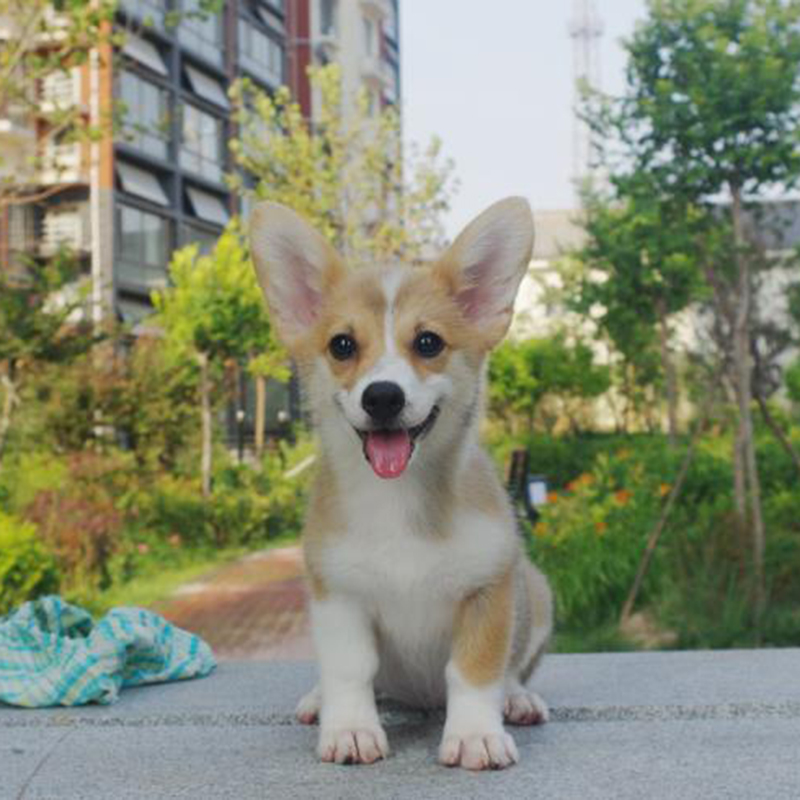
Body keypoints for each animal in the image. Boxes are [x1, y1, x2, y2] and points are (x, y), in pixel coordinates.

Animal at [250, 197, 552, 772]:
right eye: (342, 345)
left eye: (428, 342)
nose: (383, 396)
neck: (399, 501)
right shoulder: (338, 594)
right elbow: (350, 669)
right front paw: (349, 728)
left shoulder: (489, 590)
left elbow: (475, 670)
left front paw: (477, 735)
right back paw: (318, 701)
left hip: (537, 593)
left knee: (511, 671)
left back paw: (518, 699)